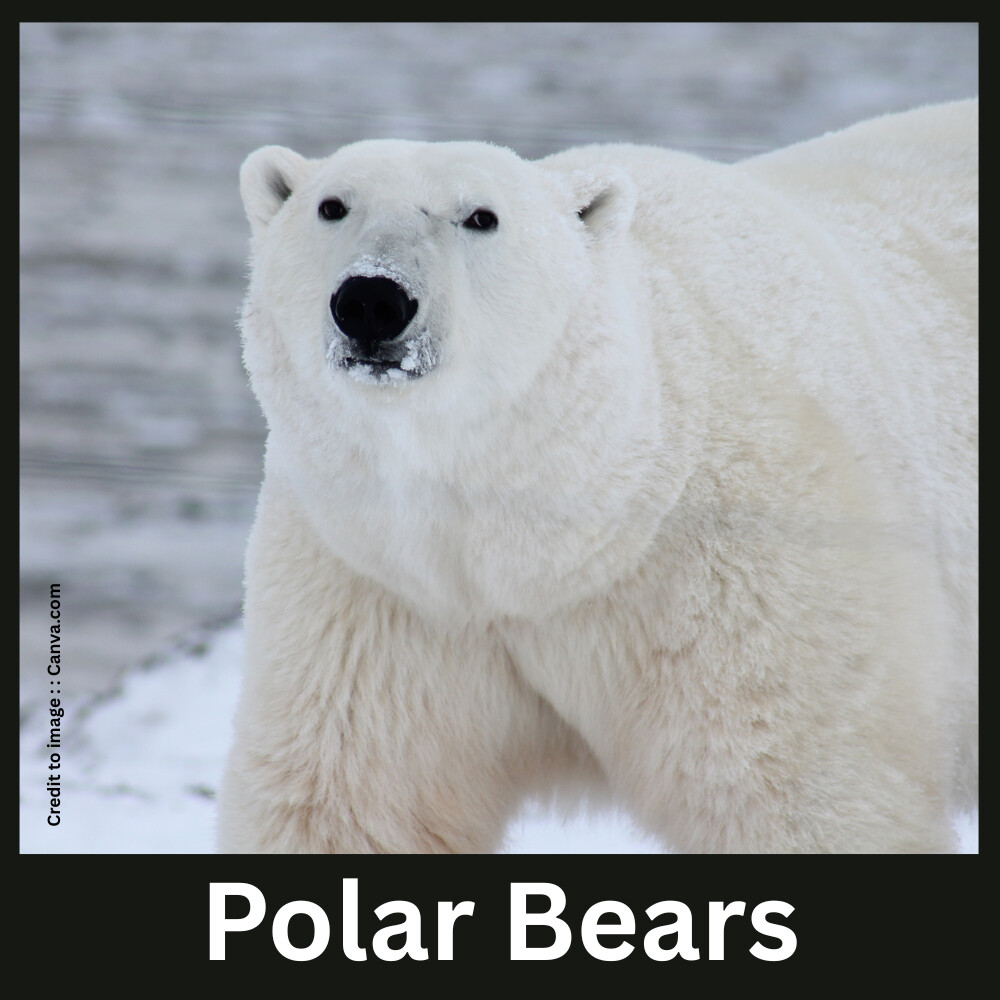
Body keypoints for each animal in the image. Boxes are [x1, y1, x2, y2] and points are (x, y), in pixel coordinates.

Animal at [218, 99, 977, 853]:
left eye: (481, 216)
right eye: (332, 205)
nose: (373, 300)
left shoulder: (750, 577)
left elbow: (797, 792)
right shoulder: (377, 588)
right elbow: (351, 801)